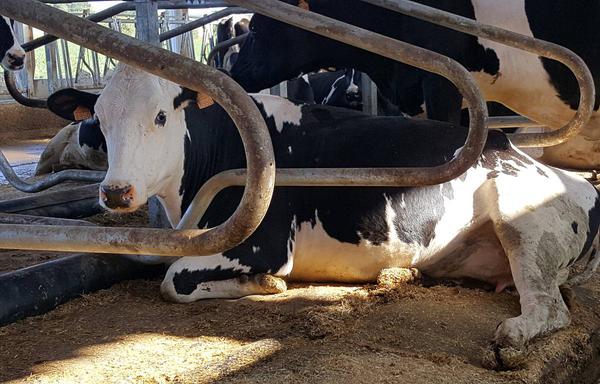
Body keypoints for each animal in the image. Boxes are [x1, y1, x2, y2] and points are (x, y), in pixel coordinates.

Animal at [58, 65, 600, 366]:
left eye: (161, 117)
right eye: (98, 120)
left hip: (520, 218)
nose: (116, 192)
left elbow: (174, 280)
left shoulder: (265, 243)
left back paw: (512, 338)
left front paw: (265, 285)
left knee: (549, 309)